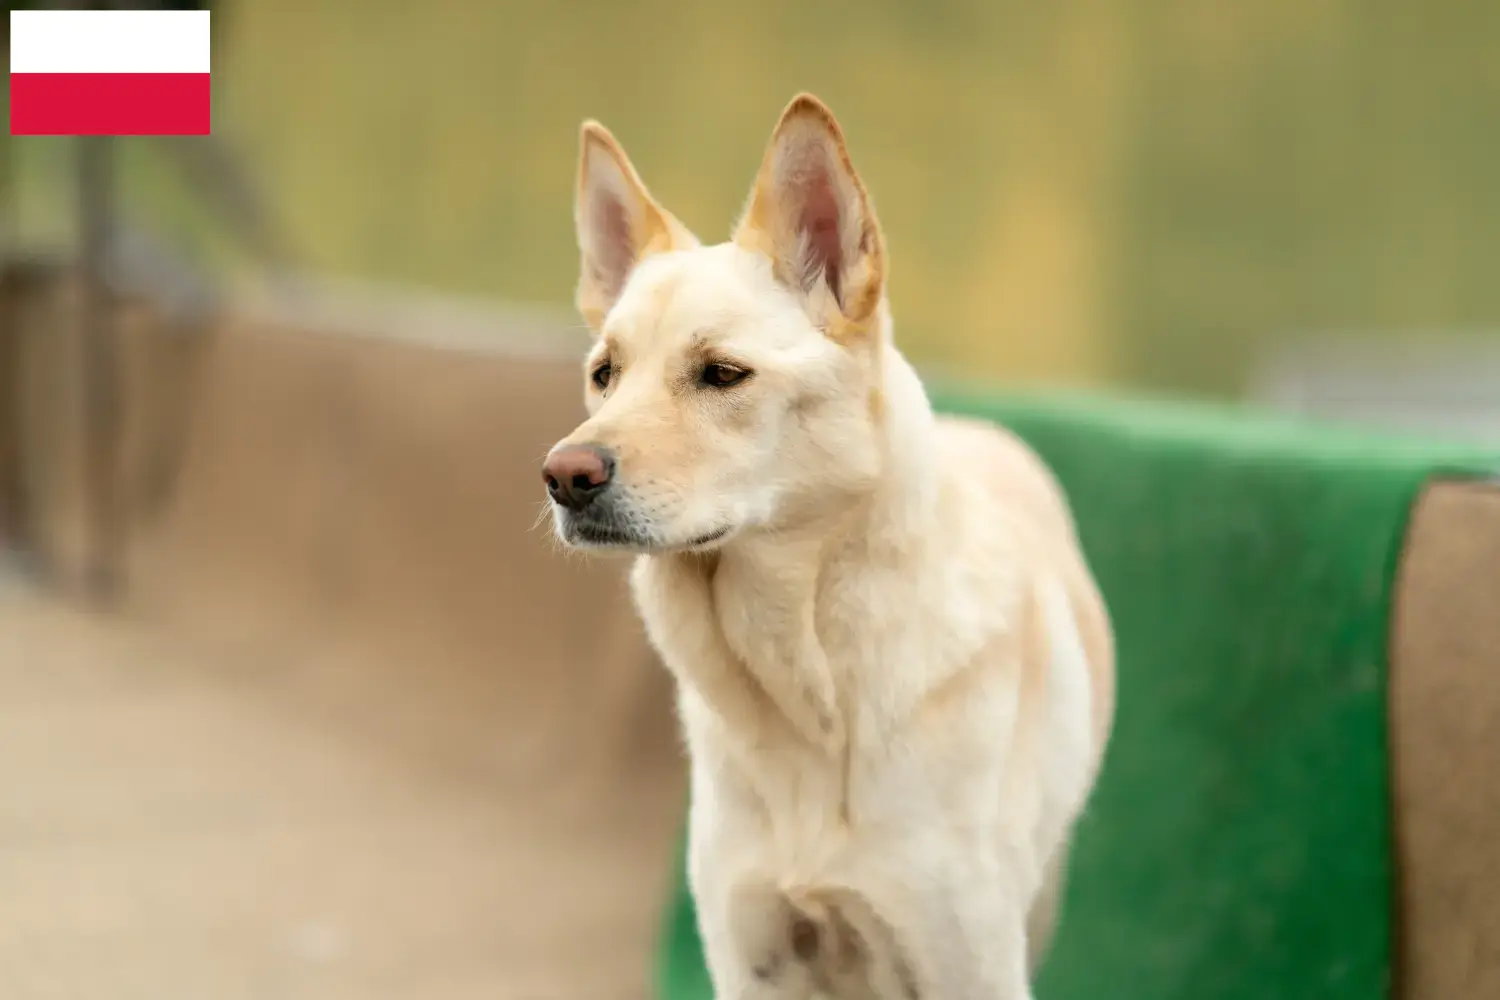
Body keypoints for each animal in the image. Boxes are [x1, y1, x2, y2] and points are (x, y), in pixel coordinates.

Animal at [540, 93, 1116, 1000]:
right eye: (606, 374)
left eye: (722, 374)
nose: (563, 476)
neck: (803, 685)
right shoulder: (748, 956)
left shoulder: (971, 961)